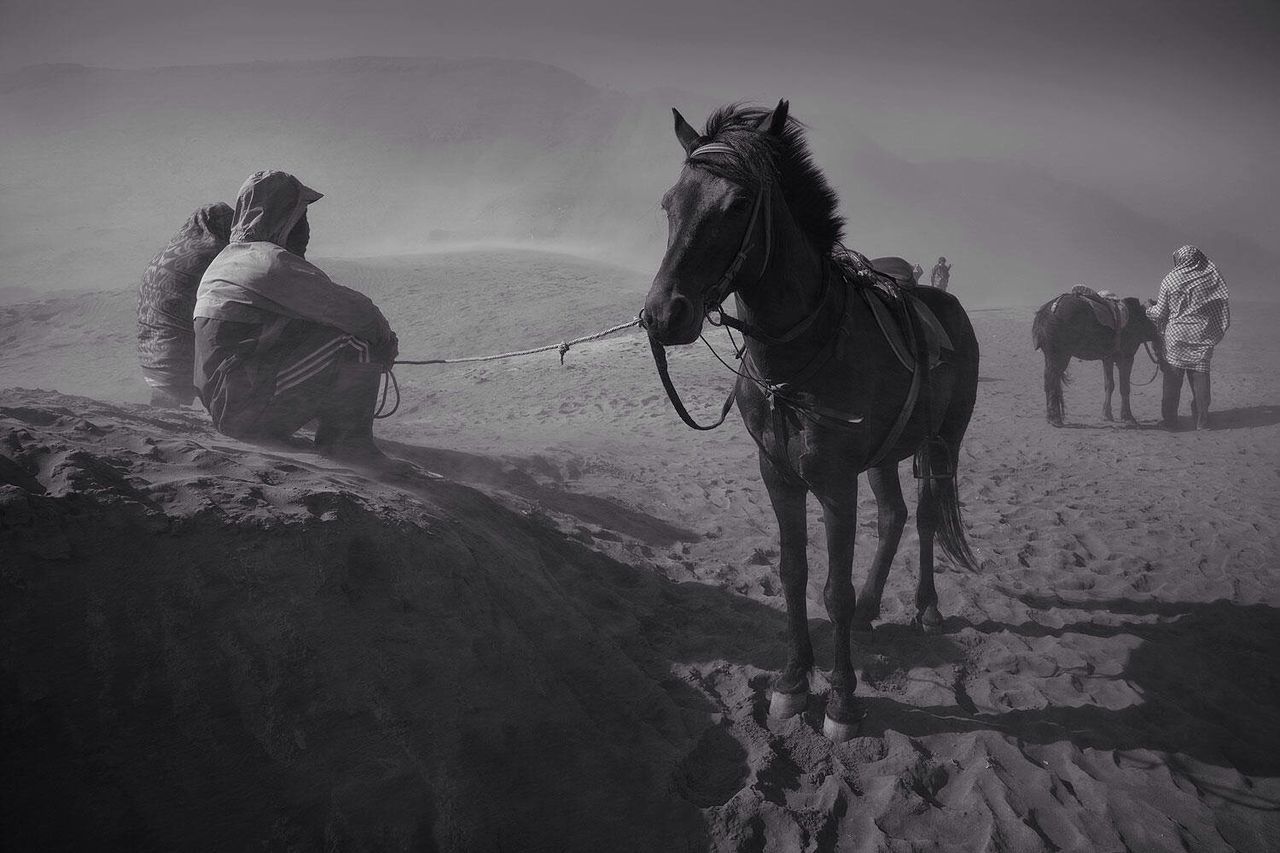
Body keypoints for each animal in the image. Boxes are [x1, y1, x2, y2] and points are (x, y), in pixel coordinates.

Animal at [637, 97, 977, 737]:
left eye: (737, 205)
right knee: (894, 515)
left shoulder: (836, 481)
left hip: (942, 441)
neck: (801, 355)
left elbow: (833, 589)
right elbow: (794, 574)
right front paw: (794, 684)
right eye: (670, 203)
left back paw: (926, 609)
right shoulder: (779, 475)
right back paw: (873, 608)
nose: (663, 315)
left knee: (923, 516)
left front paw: (842, 702)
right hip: (885, 454)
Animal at [1029, 285, 1162, 427]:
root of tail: (1045, 312)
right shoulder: (1126, 357)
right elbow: (1124, 387)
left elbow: (1109, 385)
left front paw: (1107, 415)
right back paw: (1055, 419)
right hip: (1060, 355)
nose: (1159, 352)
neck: (1139, 319)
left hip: (1050, 355)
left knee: (1049, 380)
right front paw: (1128, 418)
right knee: (1052, 380)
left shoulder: (1108, 358)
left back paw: (1052, 417)